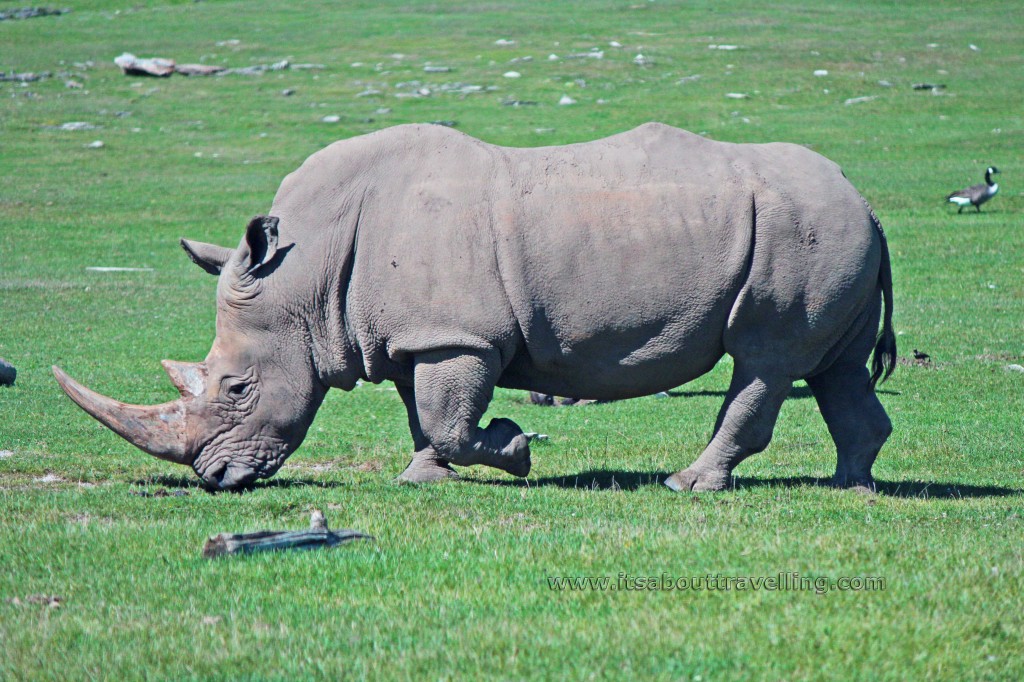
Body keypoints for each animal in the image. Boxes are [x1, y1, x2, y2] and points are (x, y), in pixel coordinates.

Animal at [54, 122, 896, 492]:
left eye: (235, 387)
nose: (215, 480)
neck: (308, 273)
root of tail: (869, 203)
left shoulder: (458, 336)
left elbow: (453, 420)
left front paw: (515, 449)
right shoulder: (412, 336)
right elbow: (424, 416)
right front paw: (421, 477)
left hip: (801, 234)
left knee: (765, 360)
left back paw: (689, 486)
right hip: (830, 233)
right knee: (836, 371)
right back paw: (851, 487)